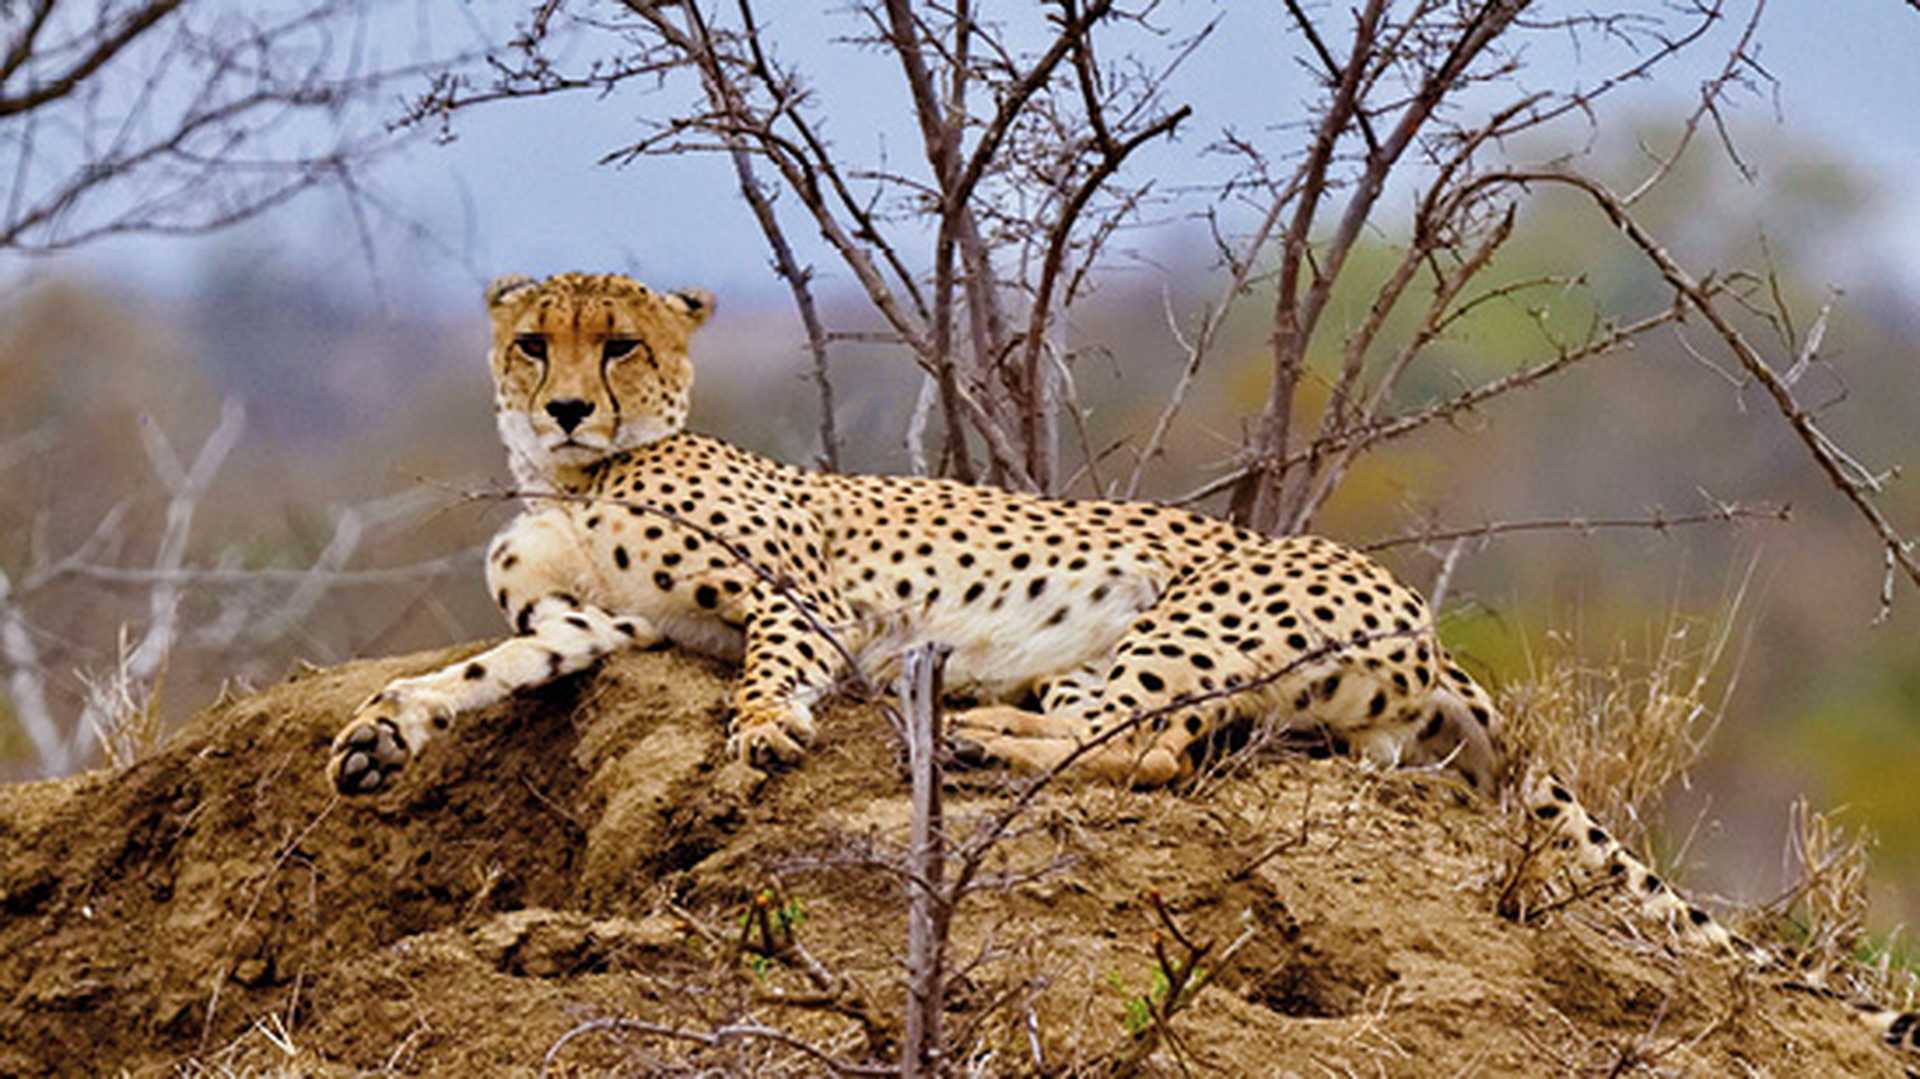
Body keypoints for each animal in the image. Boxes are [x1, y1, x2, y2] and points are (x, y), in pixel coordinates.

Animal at [326, 271, 1918, 1060]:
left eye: (620, 344)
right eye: (534, 343)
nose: (570, 404)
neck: (576, 476)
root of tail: (1418, 615)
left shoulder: (794, 600)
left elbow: (779, 660)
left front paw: (766, 735)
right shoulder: (589, 623)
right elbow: (476, 669)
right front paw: (379, 733)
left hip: (1178, 618)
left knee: (1125, 737)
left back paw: (979, 729)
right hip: (1263, 691)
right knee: (1180, 748)